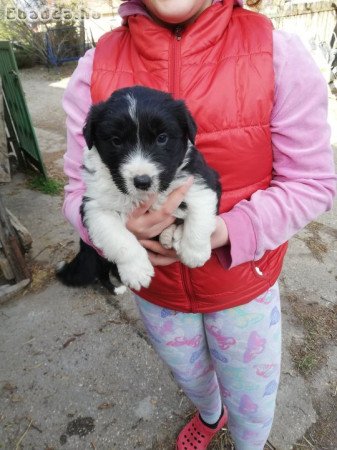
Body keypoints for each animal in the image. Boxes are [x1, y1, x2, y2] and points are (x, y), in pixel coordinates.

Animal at [57, 86, 220, 294]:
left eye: (162, 138)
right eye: (116, 141)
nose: (142, 181)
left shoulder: (199, 178)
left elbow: (200, 214)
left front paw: (194, 253)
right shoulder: (95, 206)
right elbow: (119, 239)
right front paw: (136, 271)